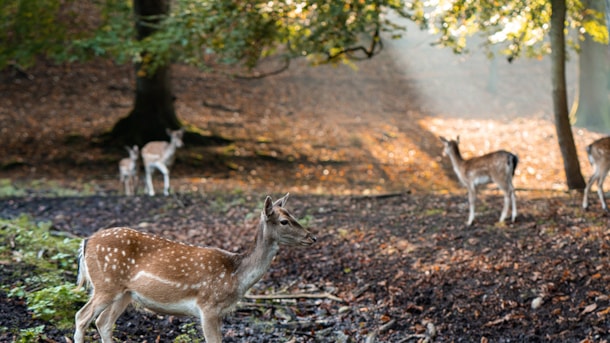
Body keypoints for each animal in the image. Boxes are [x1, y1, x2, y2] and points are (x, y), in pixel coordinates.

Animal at [73, 194, 316, 343]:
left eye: (293, 215)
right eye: (284, 221)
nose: (312, 237)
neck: (236, 275)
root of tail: (86, 242)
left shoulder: (218, 312)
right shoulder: (208, 306)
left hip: (125, 293)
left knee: (103, 322)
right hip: (106, 285)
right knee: (82, 316)